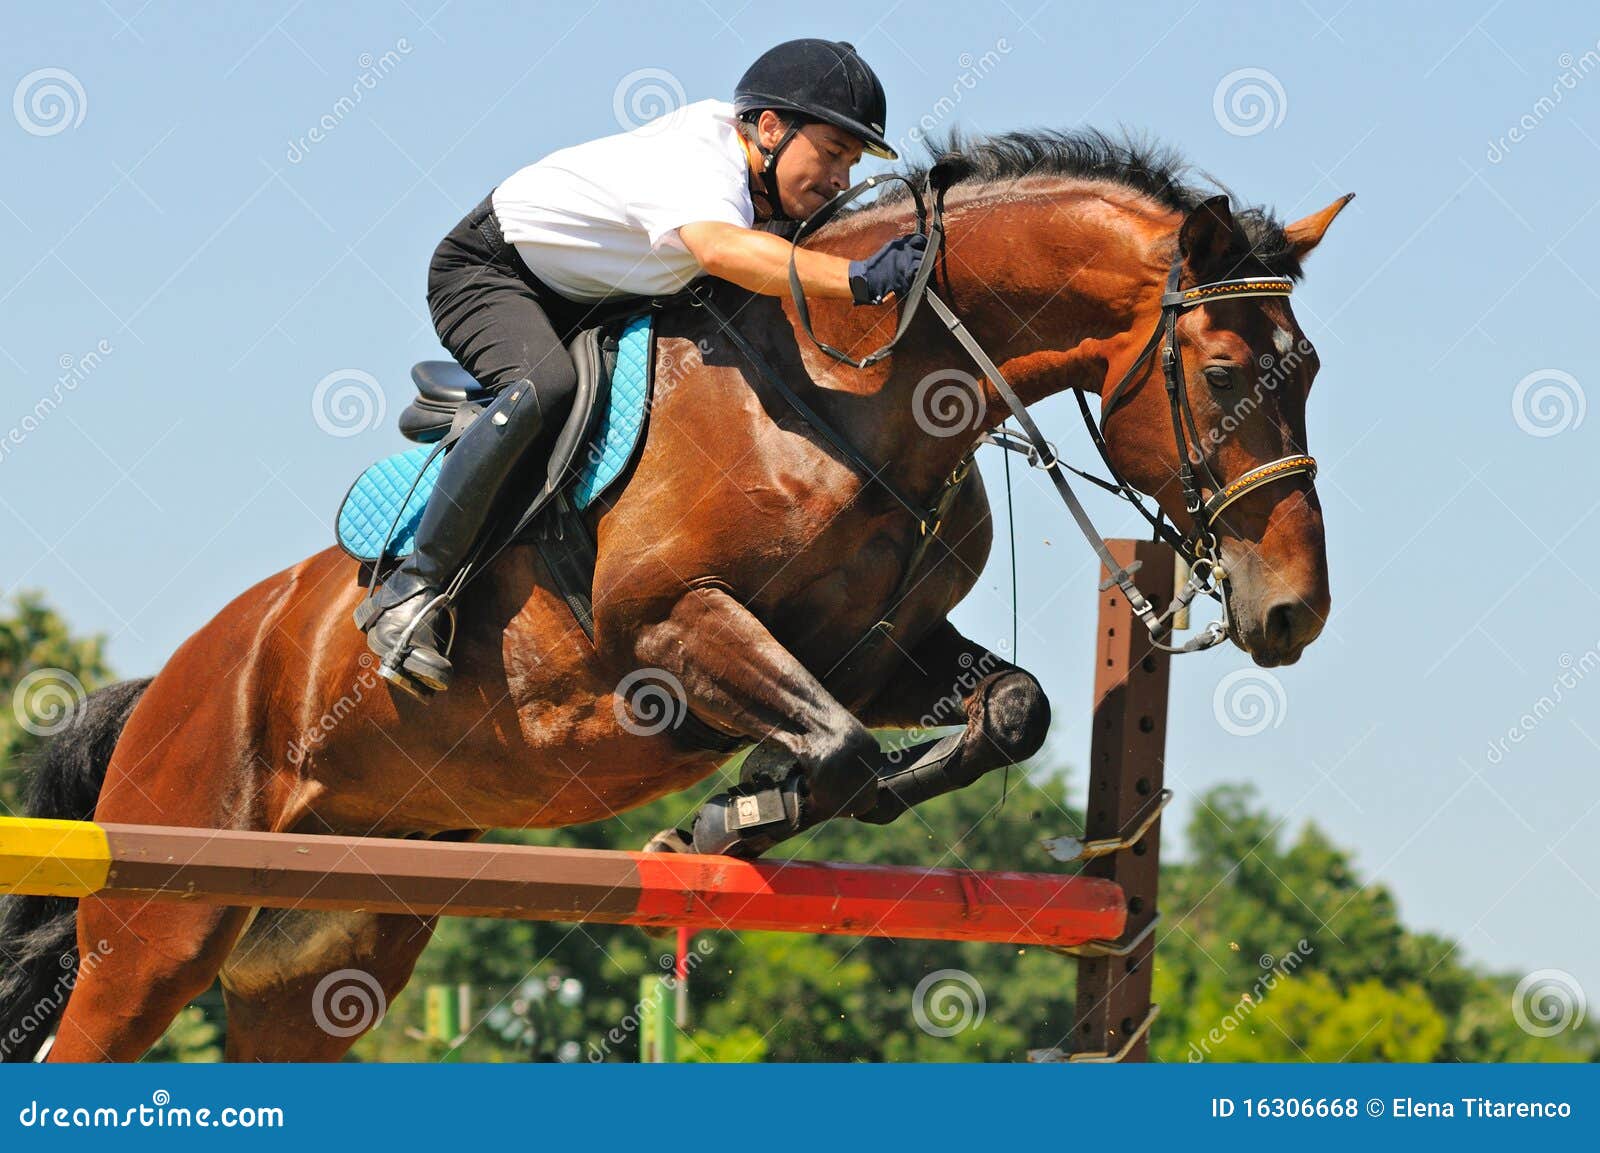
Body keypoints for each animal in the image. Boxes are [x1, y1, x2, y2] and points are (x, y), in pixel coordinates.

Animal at [0, 127, 1350, 1061]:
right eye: (1222, 371)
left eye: (1310, 372)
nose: (1293, 613)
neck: (856, 395)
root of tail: (173, 681)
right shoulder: (669, 631)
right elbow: (838, 745)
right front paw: (738, 810)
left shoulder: (879, 647)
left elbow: (1005, 710)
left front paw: (763, 806)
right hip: (158, 926)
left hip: (324, 963)